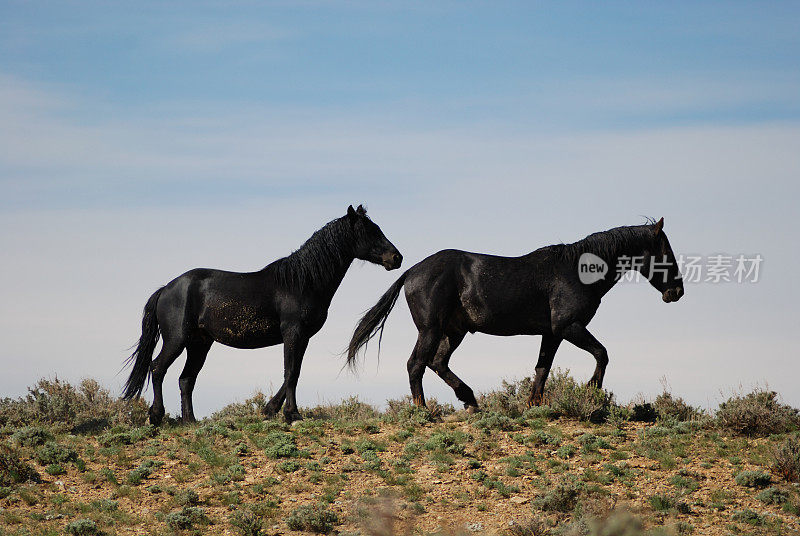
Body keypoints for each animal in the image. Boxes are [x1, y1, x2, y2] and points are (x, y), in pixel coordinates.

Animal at [126, 205, 404, 422]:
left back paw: (190, 421)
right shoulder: (293, 332)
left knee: (186, 379)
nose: (396, 257)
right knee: (157, 368)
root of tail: (166, 288)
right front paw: (292, 414)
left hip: (200, 343)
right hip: (177, 339)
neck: (302, 282)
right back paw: (156, 416)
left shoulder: (303, 337)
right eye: (369, 231)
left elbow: (294, 371)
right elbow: (290, 372)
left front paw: (271, 409)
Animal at [346, 218, 684, 410]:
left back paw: (470, 400)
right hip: (430, 329)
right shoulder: (568, 326)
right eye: (665, 253)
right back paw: (423, 410)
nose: (676, 292)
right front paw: (592, 392)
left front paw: (533, 404)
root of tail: (411, 271)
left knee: (437, 362)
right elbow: (602, 353)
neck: (576, 271)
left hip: (453, 331)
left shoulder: (552, 332)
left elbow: (542, 368)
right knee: (416, 364)